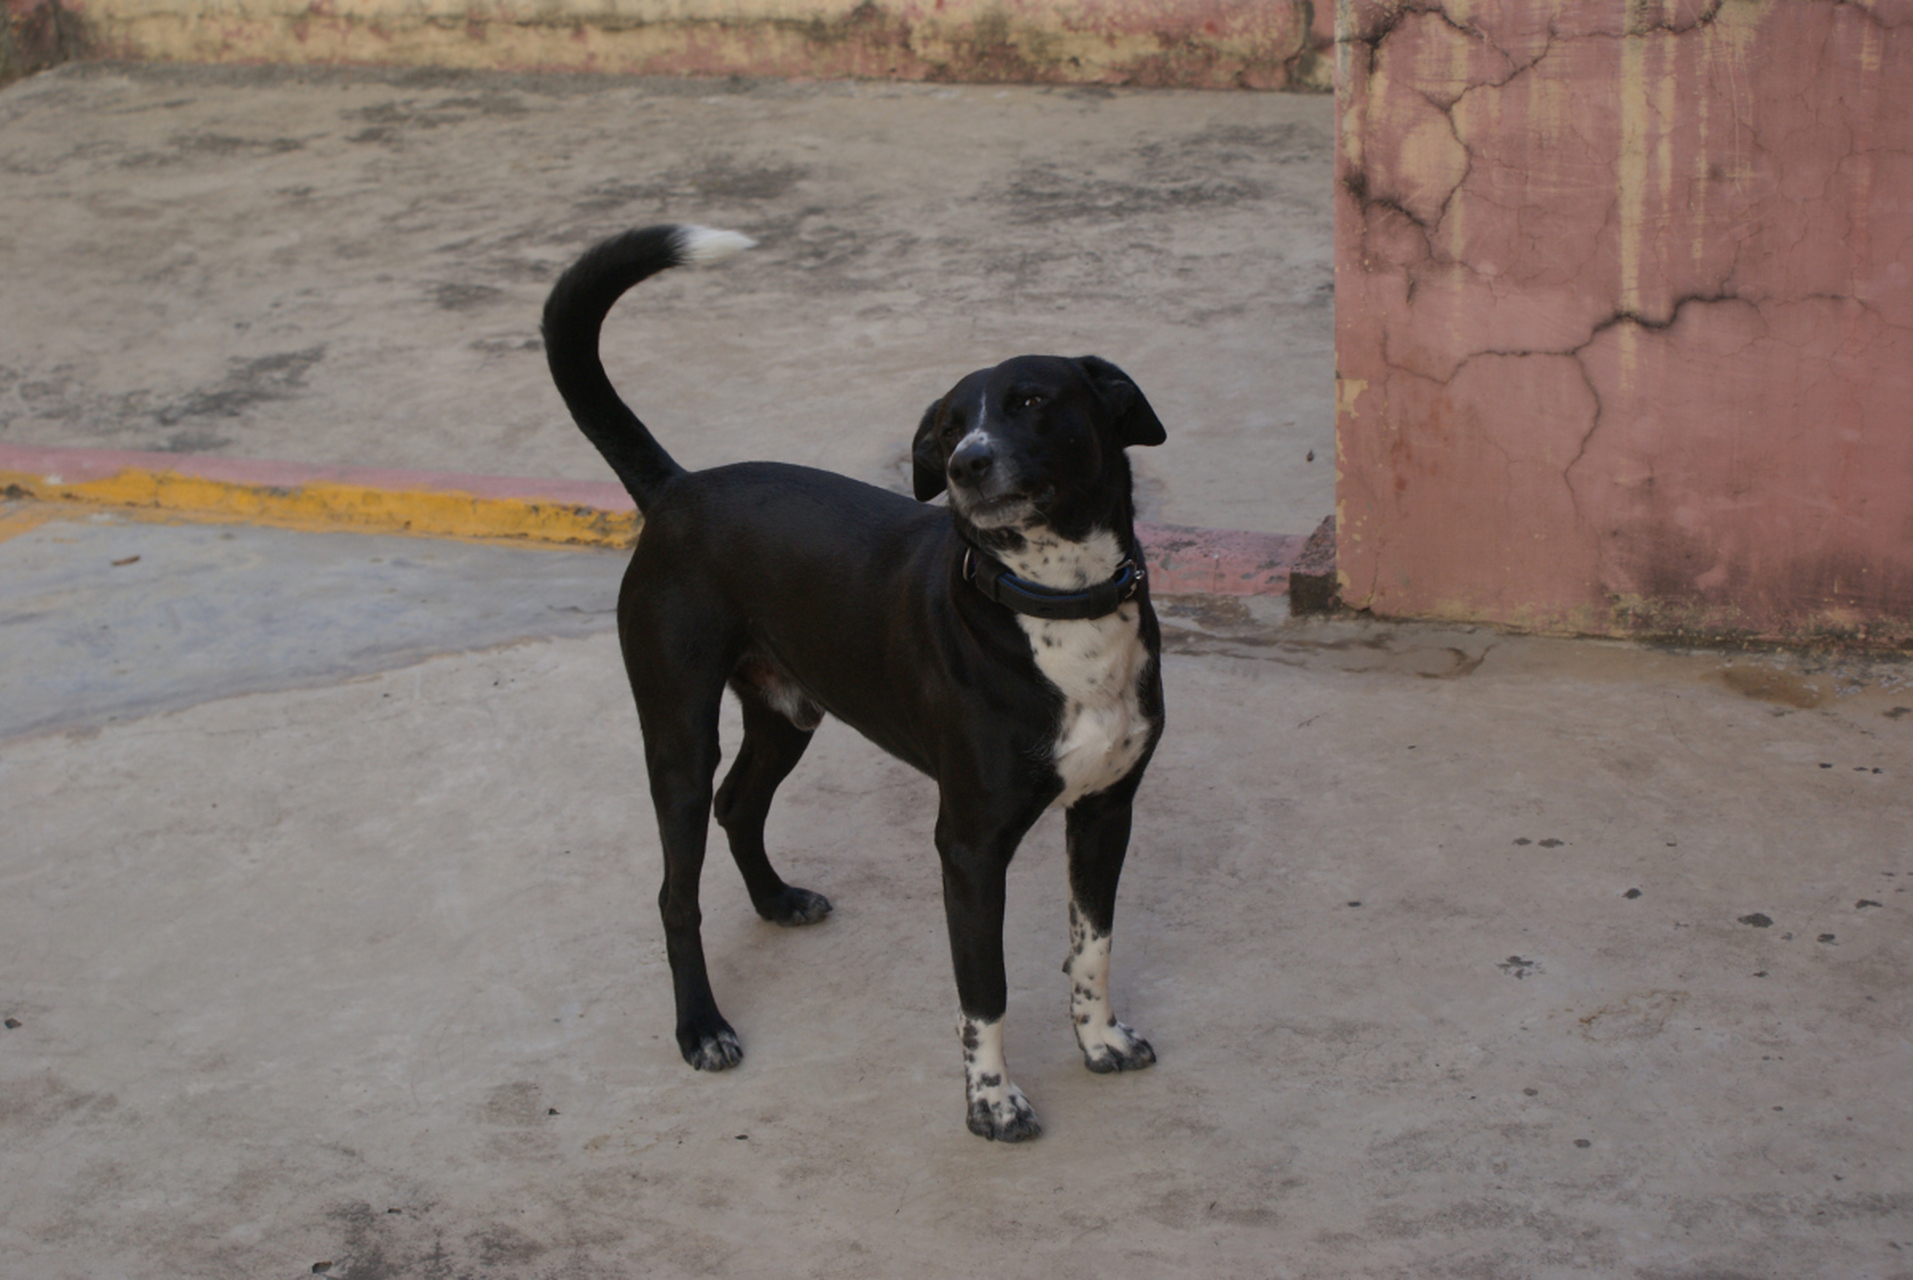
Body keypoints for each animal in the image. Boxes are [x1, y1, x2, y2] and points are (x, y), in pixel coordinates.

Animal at [539, 224, 1163, 1140]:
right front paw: (991, 1102)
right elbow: (985, 989)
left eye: (1030, 401)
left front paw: (1100, 1042)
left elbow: (1093, 946)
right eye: (946, 427)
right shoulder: (968, 845)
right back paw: (701, 1027)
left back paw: (774, 900)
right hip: (677, 729)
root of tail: (679, 490)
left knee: (739, 803)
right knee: (675, 888)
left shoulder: (1105, 810)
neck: (1054, 601)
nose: (967, 466)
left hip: (785, 714)